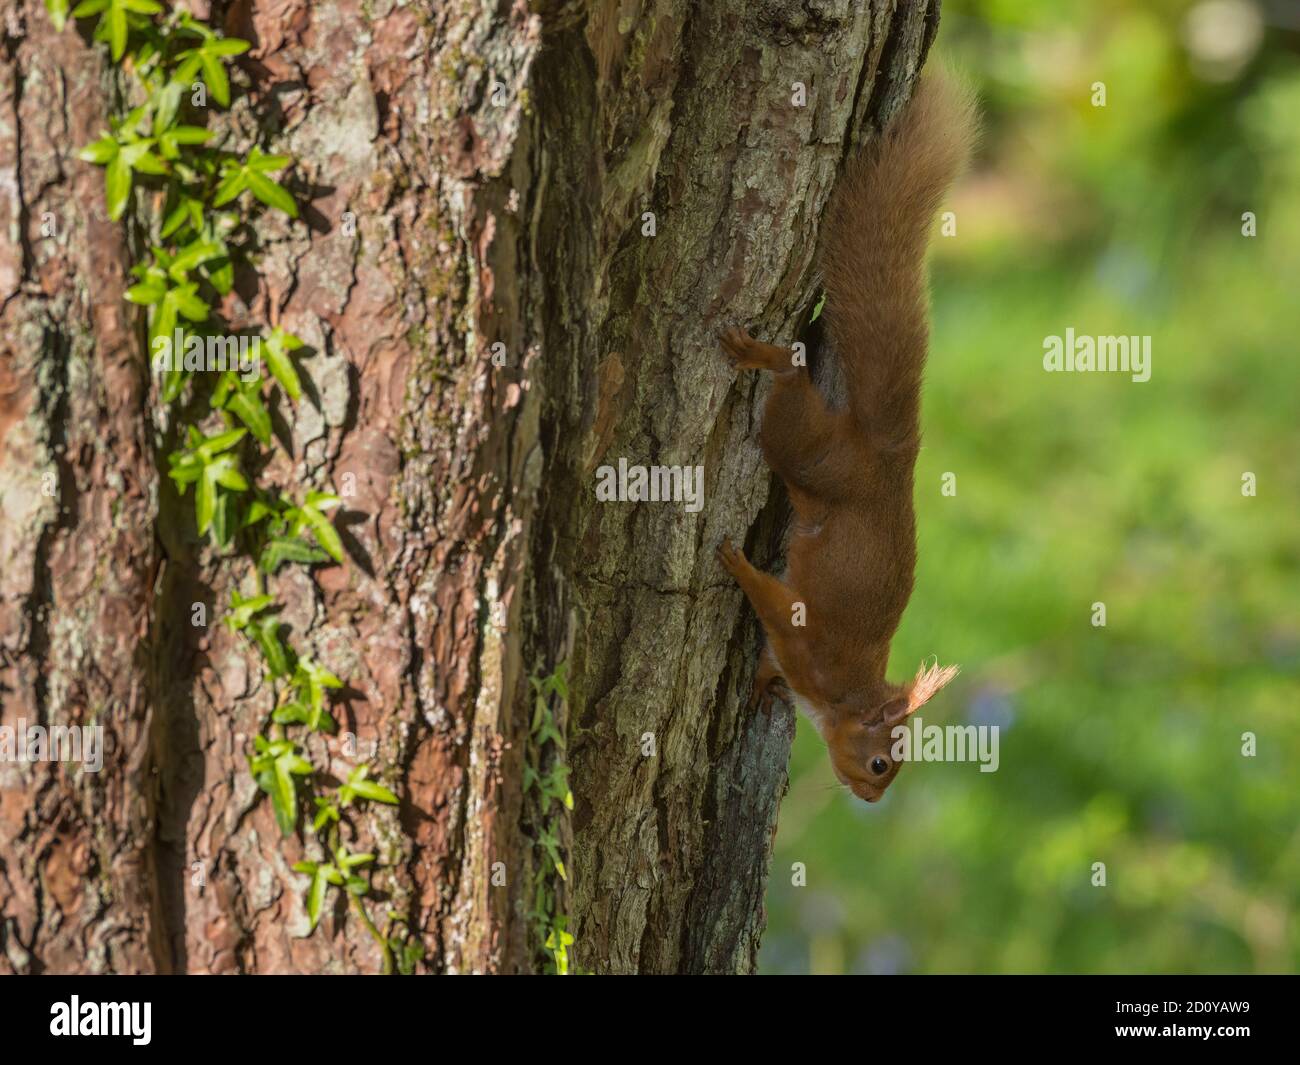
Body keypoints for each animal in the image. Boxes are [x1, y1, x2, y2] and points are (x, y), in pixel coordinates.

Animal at [717, 69, 978, 803]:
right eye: (884, 762)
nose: (870, 797)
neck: (844, 695)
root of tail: (890, 454)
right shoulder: (809, 641)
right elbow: (772, 602)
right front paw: (736, 564)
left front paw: (760, 688)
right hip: (806, 450)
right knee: (787, 379)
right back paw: (764, 354)